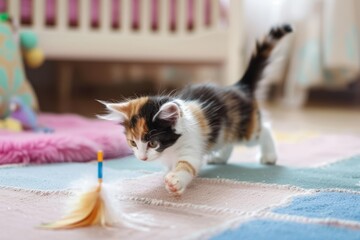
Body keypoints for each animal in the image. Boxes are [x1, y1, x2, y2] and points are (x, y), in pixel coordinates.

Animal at [98, 24, 292, 195]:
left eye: (153, 143)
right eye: (132, 143)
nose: (142, 158)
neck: (169, 150)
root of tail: (239, 86)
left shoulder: (191, 147)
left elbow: (187, 165)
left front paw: (175, 180)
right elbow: (169, 166)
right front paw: (167, 172)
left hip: (246, 132)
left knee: (264, 129)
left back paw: (269, 156)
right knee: (229, 140)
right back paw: (220, 158)